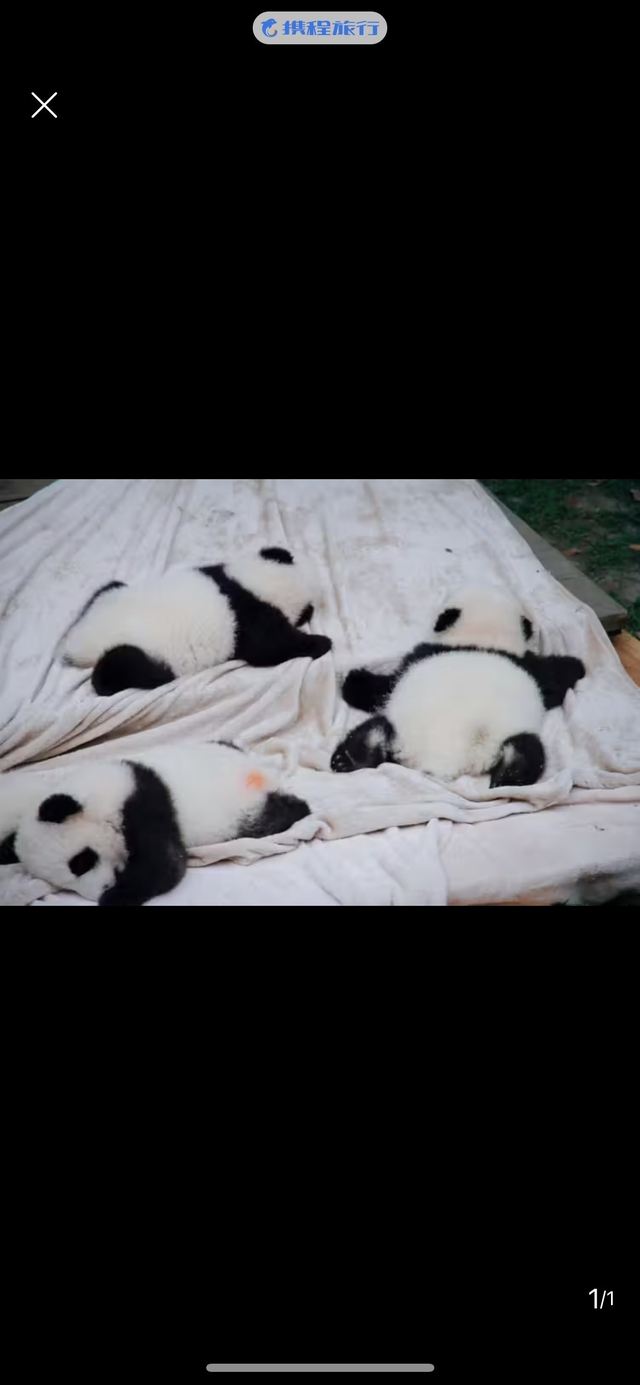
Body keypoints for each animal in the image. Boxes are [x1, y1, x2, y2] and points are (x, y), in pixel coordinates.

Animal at [0, 742, 311, 907]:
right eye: (59, 884)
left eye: (81, 861)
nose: (99, 890)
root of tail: (263, 771)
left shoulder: (140, 799)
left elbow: (166, 863)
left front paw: (115, 897)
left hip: (244, 809)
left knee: (271, 816)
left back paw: (297, 808)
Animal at [59, 547, 332, 696]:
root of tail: (80, 644)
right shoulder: (250, 621)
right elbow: (272, 647)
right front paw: (322, 642)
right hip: (145, 655)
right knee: (121, 669)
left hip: (107, 595)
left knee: (106, 588)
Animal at [330, 585, 586, 787]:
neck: (483, 637)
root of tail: (443, 761)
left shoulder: (420, 654)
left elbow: (553, 681)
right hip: (404, 734)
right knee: (377, 729)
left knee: (527, 750)